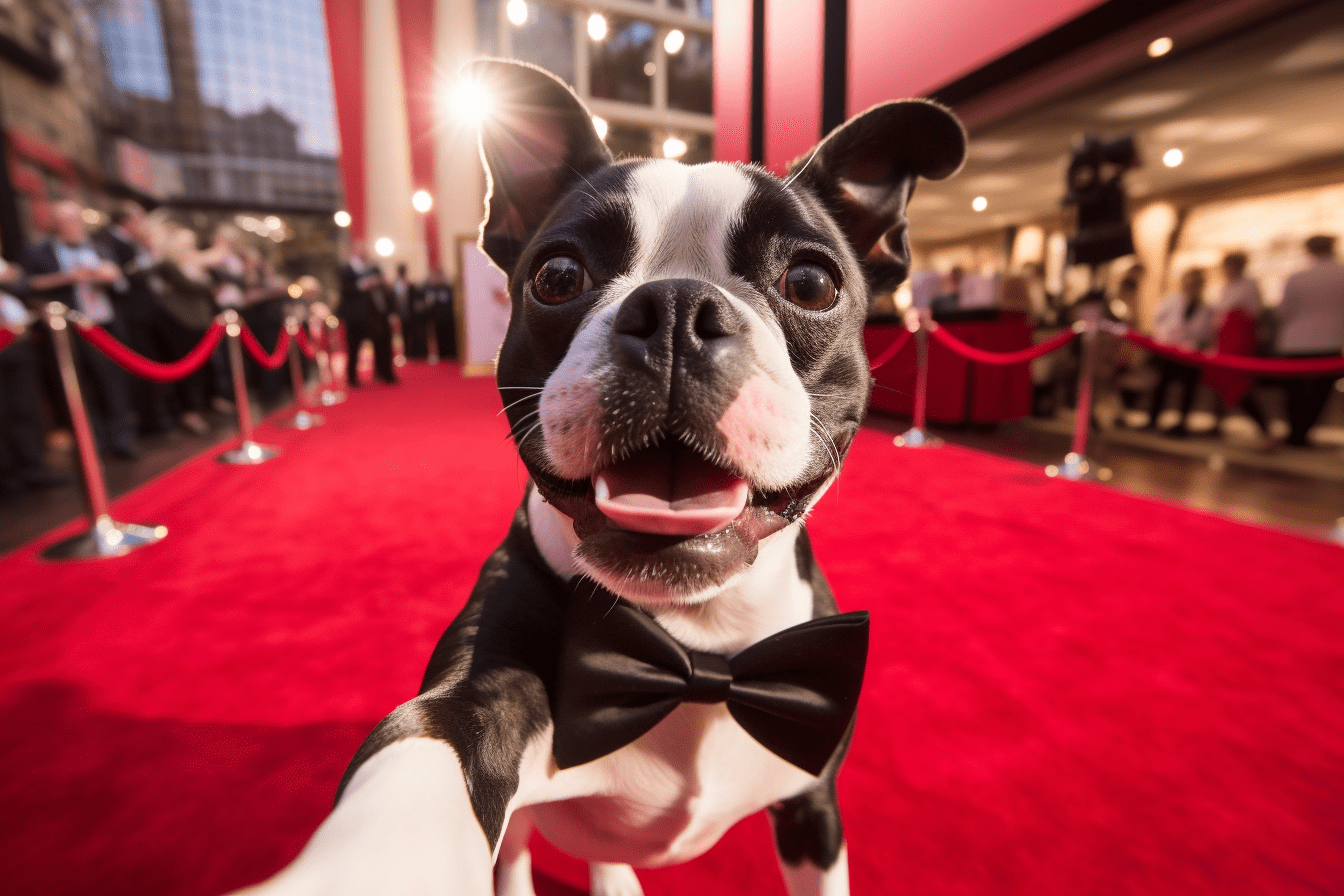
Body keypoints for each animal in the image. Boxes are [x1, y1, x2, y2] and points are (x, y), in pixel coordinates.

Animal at [244, 59, 967, 891]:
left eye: (812, 283)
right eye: (558, 274)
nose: (679, 307)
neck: (694, 643)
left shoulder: (814, 807)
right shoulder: (477, 694)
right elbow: (427, 748)